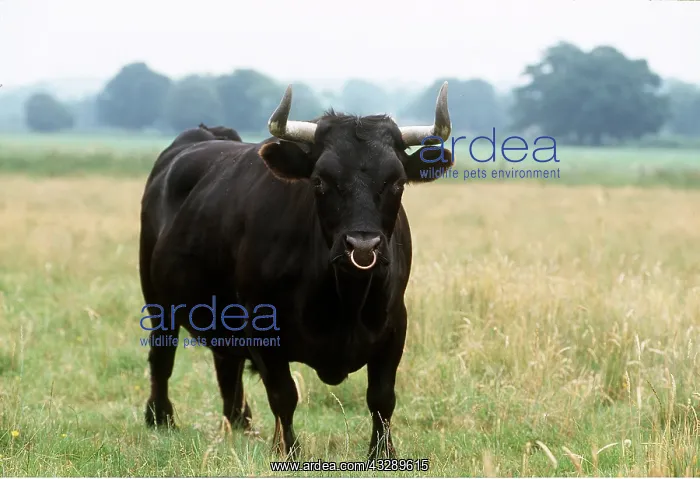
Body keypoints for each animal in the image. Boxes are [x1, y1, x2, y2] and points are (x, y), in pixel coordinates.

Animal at [138, 83, 453, 460]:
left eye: (397, 182)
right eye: (319, 181)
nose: (362, 246)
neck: (342, 301)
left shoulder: (395, 325)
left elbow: (381, 397)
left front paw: (382, 453)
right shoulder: (262, 326)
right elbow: (284, 394)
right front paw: (289, 449)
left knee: (226, 364)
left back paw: (240, 421)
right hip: (158, 303)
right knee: (162, 357)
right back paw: (160, 417)